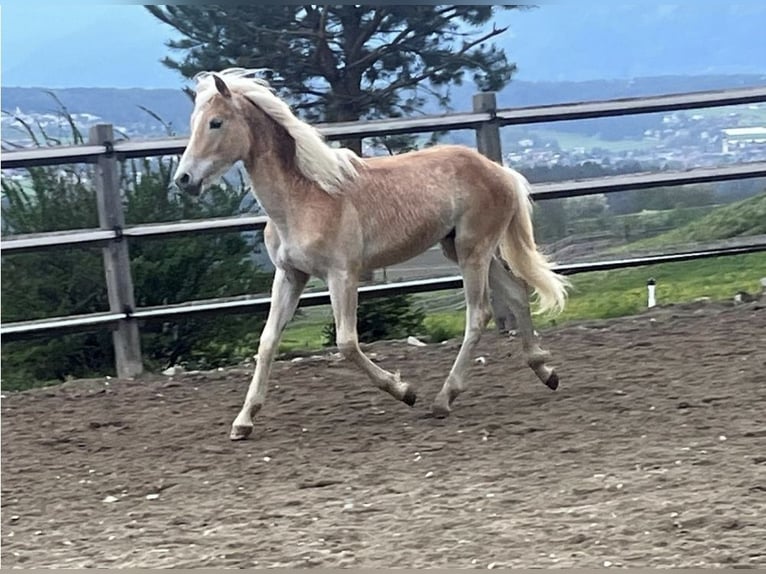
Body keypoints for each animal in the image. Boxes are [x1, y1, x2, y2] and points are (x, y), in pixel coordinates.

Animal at [174, 70, 568, 444]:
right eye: (194, 121)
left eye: (216, 122)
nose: (184, 179)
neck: (304, 197)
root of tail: (501, 171)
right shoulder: (290, 275)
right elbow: (268, 340)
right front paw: (243, 422)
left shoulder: (342, 275)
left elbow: (346, 343)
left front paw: (405, 391)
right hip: (461, 248)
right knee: (516, 293)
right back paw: (545, 372)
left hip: (474, 251)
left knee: (479, 315)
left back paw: (443, 399)